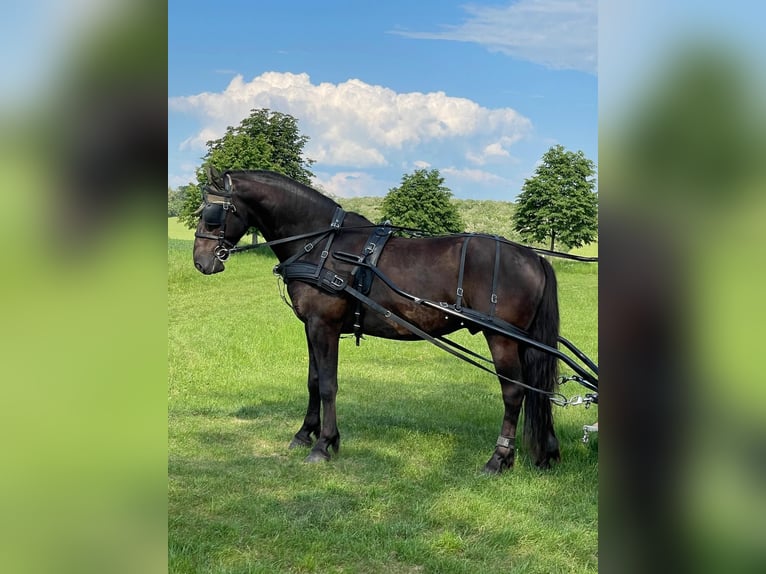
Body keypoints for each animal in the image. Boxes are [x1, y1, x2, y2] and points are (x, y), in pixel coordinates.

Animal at [193, 169, 561, 473]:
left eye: (212, 214)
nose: (200, 262)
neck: (322, 245)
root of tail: (532, 256)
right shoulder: (311, 326)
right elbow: (313, 380)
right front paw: (304, 434)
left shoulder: (324, 325)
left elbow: (328, 385)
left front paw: (324, 444)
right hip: (523, 341)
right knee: (538, 388)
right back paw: (546, 452)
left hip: (501, 338)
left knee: (514, 392)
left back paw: (499, 459)